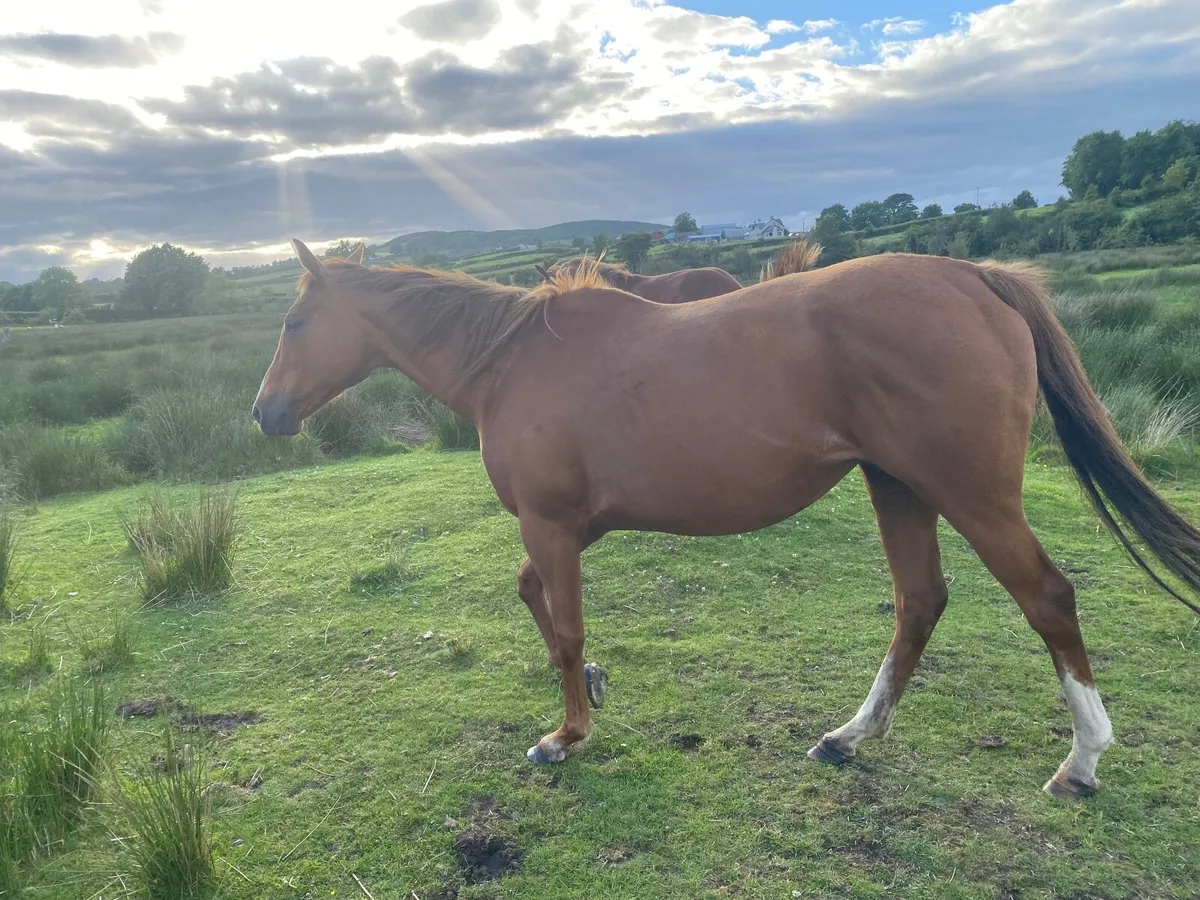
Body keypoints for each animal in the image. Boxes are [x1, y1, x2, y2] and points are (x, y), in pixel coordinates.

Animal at [254, 238, 1200, 799]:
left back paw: (1082, 760)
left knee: (1047, 598)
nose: (265, 414)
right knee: (919, 602)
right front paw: (593, 682)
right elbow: (536, 601)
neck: (511, 362)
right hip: (897, 485)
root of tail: (974, 276)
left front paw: (567, 733)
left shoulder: (551, 524)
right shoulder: (567, 528)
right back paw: (850, 737)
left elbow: (562, 624)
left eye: (295, 321)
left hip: (969, 493)